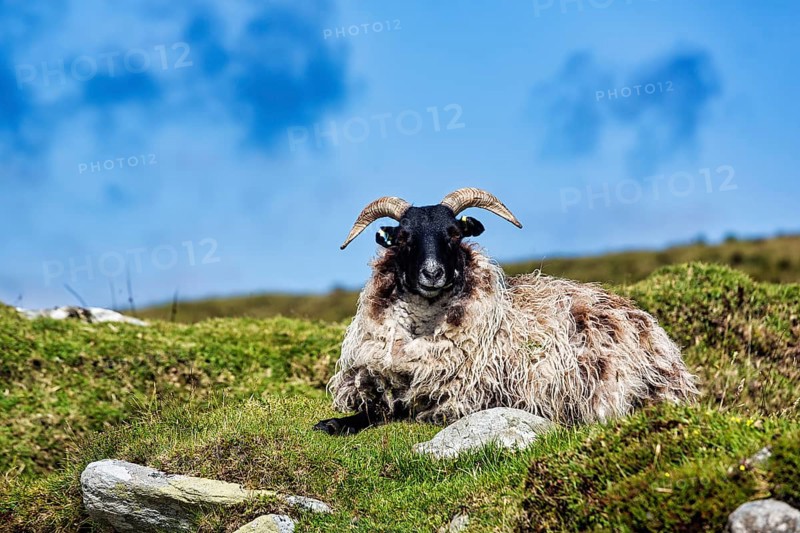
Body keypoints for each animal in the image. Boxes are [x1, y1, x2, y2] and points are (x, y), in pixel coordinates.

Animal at [314, 188, 698, 435]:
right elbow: (369, 408)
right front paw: (332, 424)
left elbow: (399, 413)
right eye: (404, 238)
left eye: (454, 234)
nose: (433, 273)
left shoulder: (462, 398)